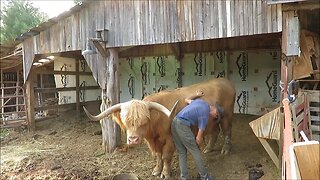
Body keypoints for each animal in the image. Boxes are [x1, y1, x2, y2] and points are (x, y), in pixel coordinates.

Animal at [84, 77, 236, 179]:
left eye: (143, 121)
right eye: (126, 120)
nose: (133, 140)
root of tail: (225, 81)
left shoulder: (170, 139)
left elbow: (166, 156)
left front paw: (165, 173)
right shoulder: (152, 142)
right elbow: (157, 155)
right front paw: (157, 170)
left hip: (227, 116)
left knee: (227, 131)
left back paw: (226, 150)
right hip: (213, 121)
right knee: (215, 131)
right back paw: (208, 148)